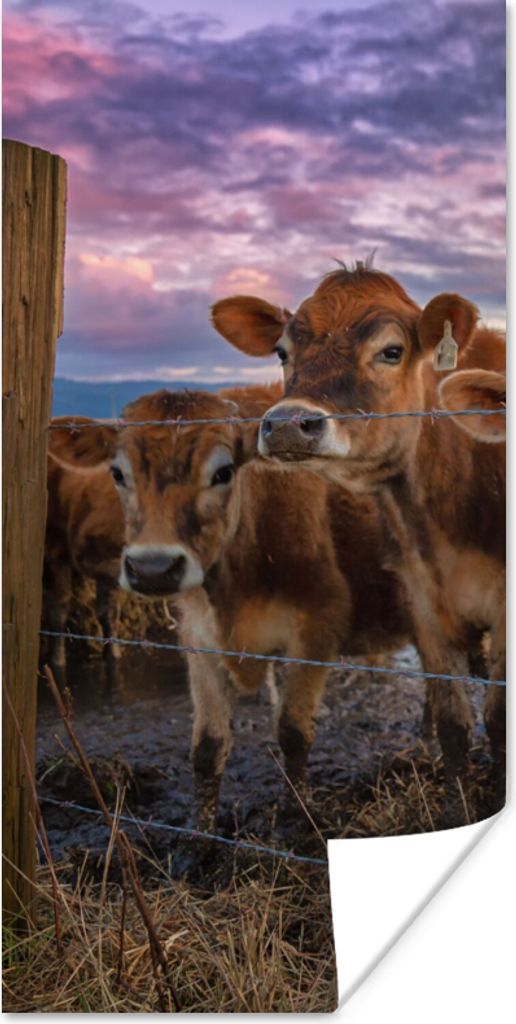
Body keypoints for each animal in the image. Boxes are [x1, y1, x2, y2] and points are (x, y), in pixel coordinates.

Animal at [210, 268, 506, 822]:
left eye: (391, 351)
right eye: (281, 351)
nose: (288, 425)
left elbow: (499, 721)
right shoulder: (420, 598)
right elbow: (455, 723)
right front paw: (455, 812)